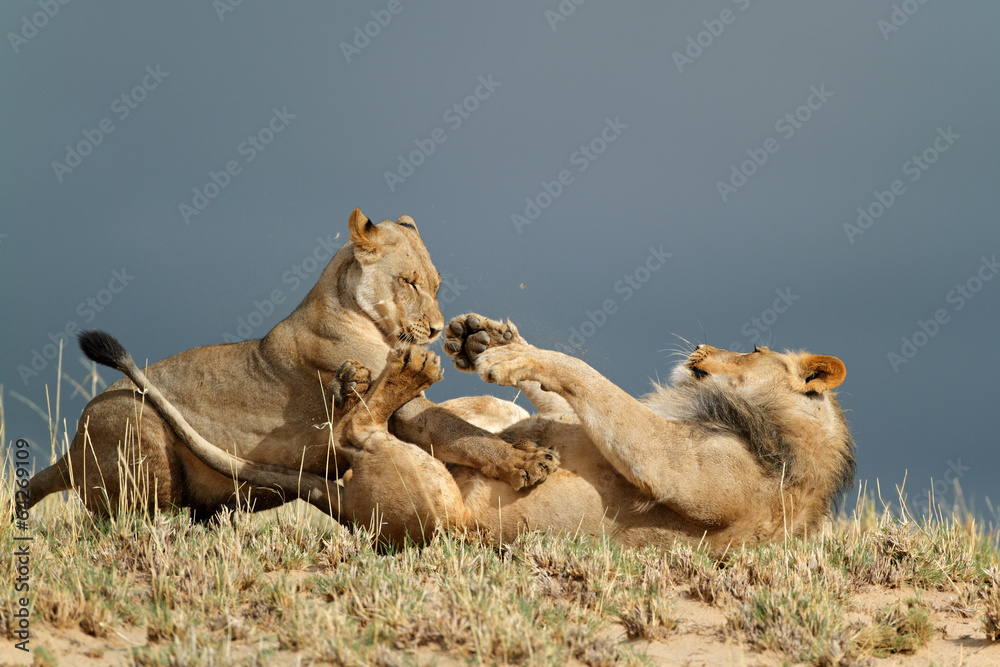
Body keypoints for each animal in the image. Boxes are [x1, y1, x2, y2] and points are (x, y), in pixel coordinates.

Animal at [25, 214, 557, 521]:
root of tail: (73, 444)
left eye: (435, 284)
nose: (435, 329)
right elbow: (463, 433)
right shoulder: (405, 410)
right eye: (408, 282)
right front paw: (527, 462)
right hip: (139, 429)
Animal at [70, 310, 855, 555]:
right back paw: (378, 381)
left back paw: (394, 380)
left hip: (431, 510)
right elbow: (575, 393)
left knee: (358, 435)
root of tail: (339, 500)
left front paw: (504, 352)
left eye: (753, 348)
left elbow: (593, 381)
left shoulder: (692, 474)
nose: (698, 348)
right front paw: (492, 337)